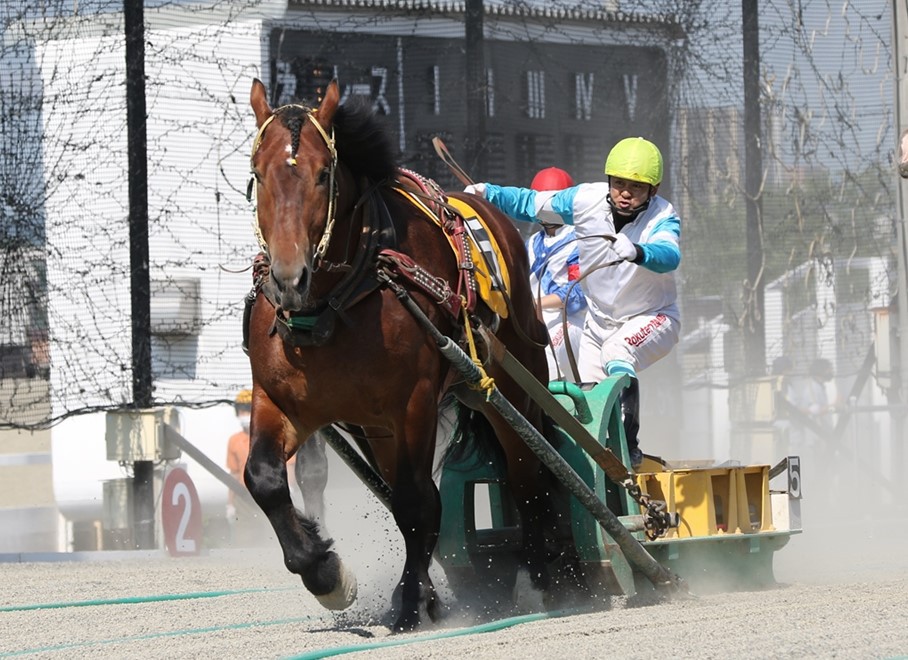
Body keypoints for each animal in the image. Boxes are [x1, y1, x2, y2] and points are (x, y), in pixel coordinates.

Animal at [245, 77, 564, 628]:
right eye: (258, 173)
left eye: (324, 174)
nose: (288, 278)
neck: (332, 305)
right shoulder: (281, 400)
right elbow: (262, 479)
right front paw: (326, 574)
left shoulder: (413, 402)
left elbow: (417, 505)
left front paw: (410, 600)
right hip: (377, 430)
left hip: (512, 389)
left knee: (528, 478)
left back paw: (540, 579)